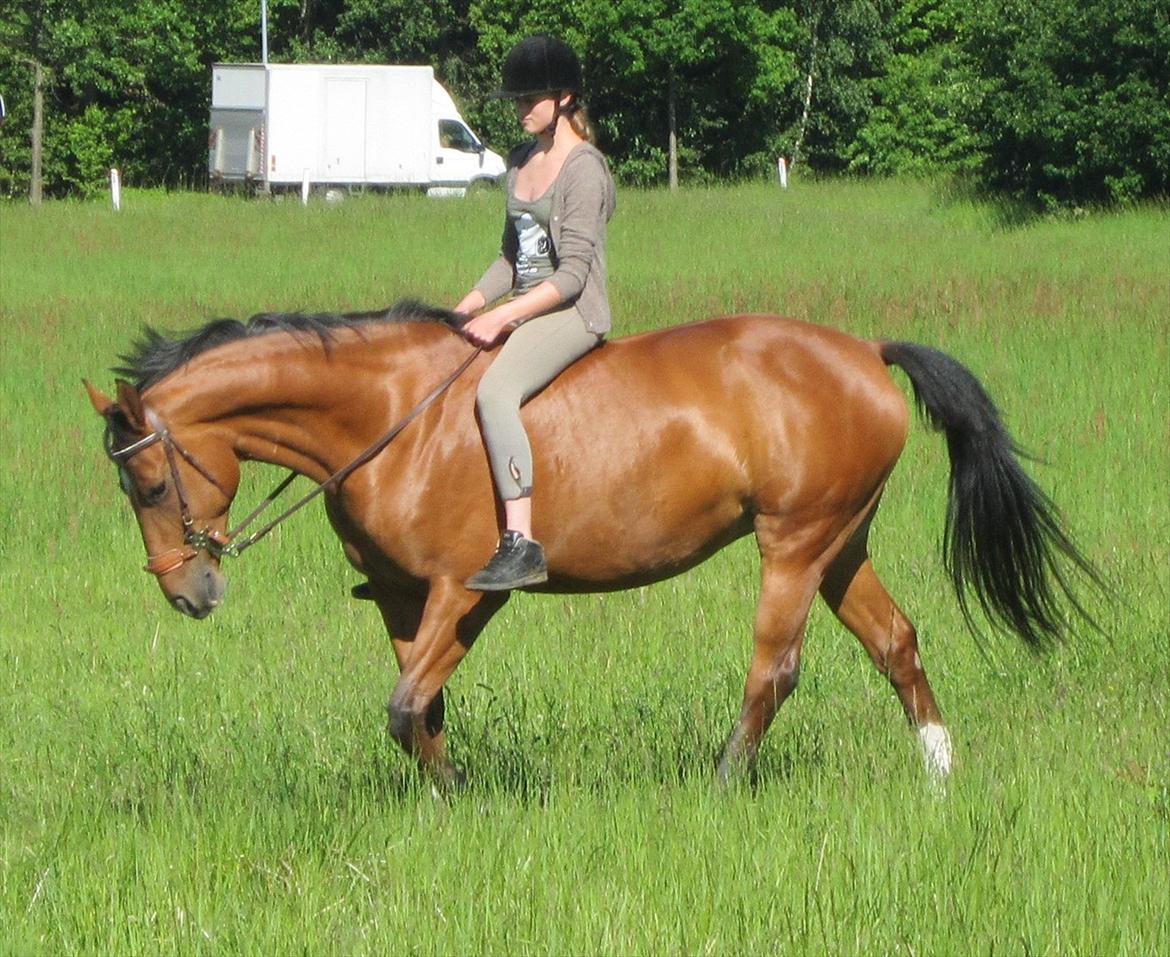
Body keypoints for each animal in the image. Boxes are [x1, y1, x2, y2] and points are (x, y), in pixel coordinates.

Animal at [86, 301, 1099, 786]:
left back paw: (721, 785)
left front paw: (464, 799)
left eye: (149, 483)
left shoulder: (467, 588)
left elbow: (408, 707)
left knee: (773, 669)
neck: (387, 414)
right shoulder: (406, 597)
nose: (187, 592)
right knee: (896, 643)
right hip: (841, 542)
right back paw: (940, 778)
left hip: (795, 541)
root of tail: (864, 351)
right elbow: (423, 710)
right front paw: (449, 802)